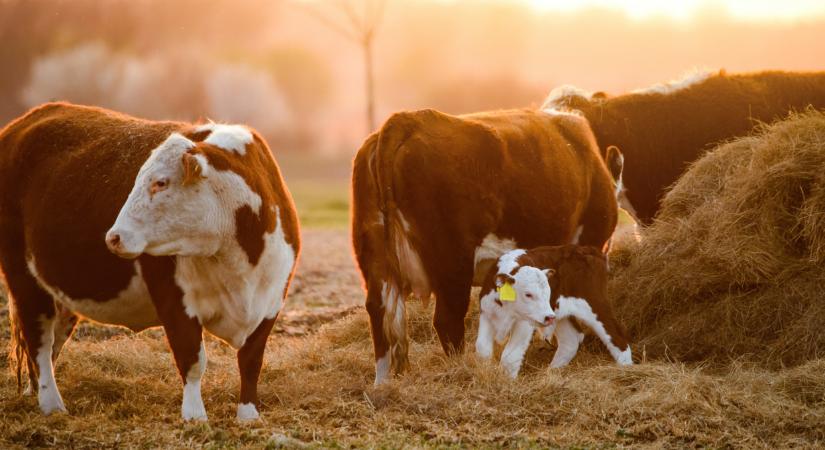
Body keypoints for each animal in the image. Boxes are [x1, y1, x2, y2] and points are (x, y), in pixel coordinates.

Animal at [0, 102, 300, 422]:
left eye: (160, 182)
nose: (114, 237)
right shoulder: (174, 299)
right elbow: (192, 358)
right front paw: (194, 416)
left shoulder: (271, 302)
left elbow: (251, 361)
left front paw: (248, 415)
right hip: (24, 279)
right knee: (39, 342)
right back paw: (51, 404)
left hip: (61, 296)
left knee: (50, 344)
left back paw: (35, 393)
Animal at [476, 244, 632, 378]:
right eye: (528, 294)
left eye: (548, 292)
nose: (548, 317)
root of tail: (587, 249)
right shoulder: (486, 314)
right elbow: (483, 349)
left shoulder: (525, 323)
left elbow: (510, 356)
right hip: (561, 314)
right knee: (571, 340)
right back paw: (552, 373)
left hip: (595, 304)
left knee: (618, 338)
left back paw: (626, 372)